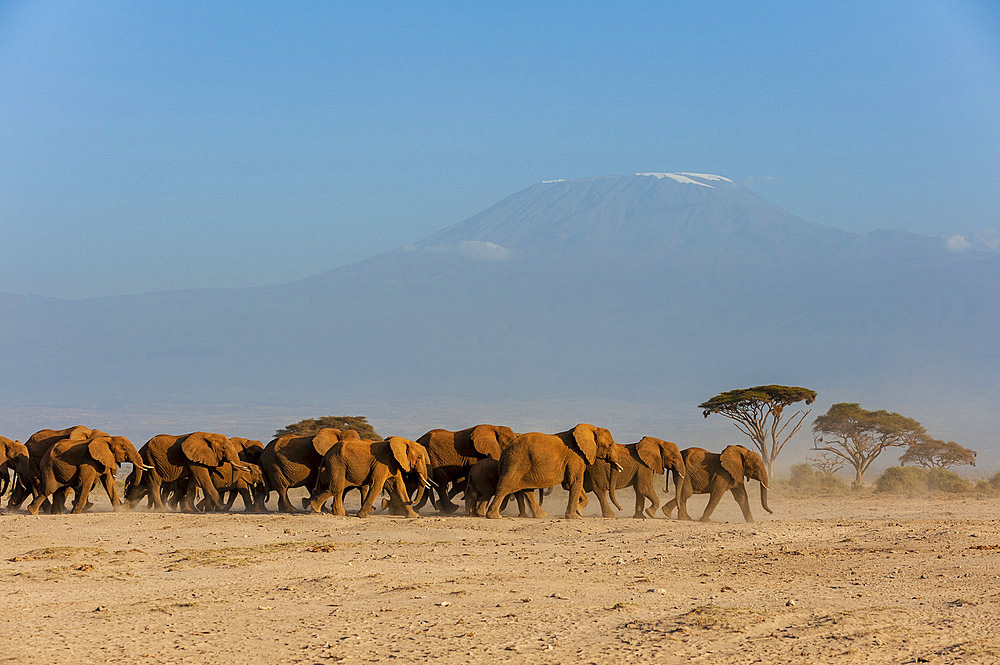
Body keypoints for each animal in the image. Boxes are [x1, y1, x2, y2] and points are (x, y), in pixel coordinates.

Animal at [122, 434, 252, 510]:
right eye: (224, 448)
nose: (227, 483)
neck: (208, 435)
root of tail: (141, 449)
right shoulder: (194, 459)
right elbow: (203, 480)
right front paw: (222, 508)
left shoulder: (195, 459)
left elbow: (193, 482)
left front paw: (192, 510)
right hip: (151, 460)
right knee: (154, 483)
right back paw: (162, 510)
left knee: (142, 486)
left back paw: (125, 509)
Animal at [486, 426, 620, 520]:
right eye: (609, 445)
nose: (620, 510)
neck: (590, 428)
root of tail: (505, 451)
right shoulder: (575, 456)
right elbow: (575, 481)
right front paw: (575, 516)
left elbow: (571, 483)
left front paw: (578, 510)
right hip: (516, 461)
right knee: (505, 486)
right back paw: (494, 516)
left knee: (528, 490)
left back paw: (543, 515)